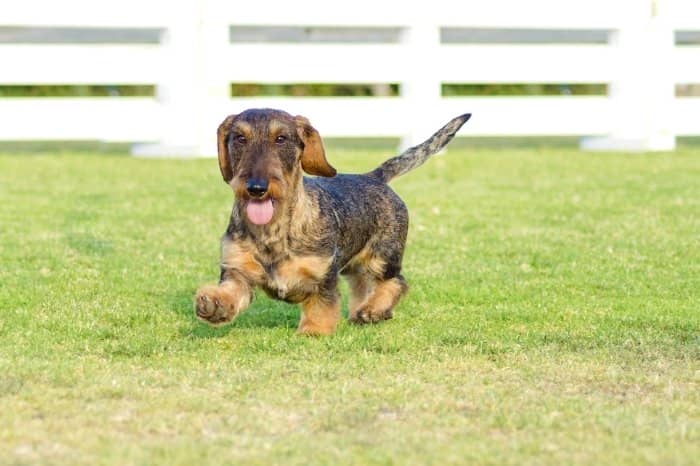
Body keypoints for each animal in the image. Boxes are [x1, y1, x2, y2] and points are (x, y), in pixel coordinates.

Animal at [196, 109, 470, 334]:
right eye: (240, 138)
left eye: (281, 139)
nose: (256, 188)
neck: (274, 230)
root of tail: (374, 177)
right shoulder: (237, 270)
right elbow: (232, 291)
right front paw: (214, 304)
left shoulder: (324, 275)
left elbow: (322, 305)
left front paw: (313, 331)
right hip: (356, 266)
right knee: (363, 287)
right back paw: (364, 311)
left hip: (383, 257)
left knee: (396, 282)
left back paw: (373, 310)